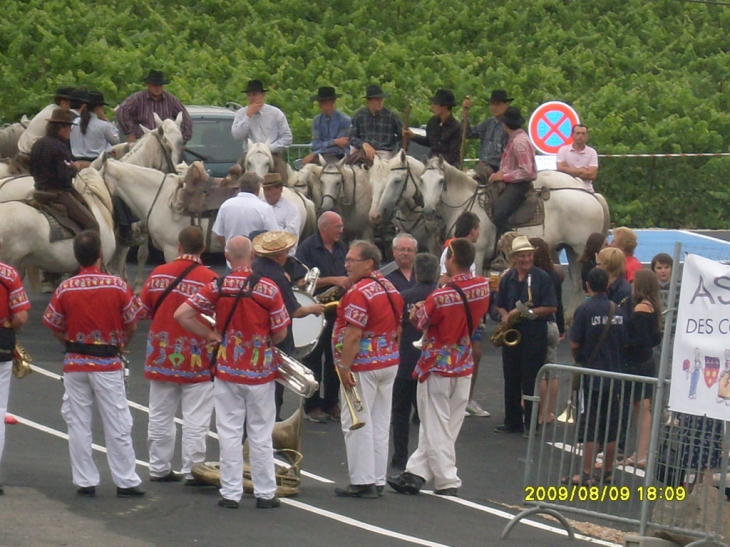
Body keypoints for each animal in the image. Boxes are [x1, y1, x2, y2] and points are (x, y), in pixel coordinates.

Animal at [416, 157, 608, 322]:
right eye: (422, 180)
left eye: (441, 181)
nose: (428, 211)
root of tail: (593, 196)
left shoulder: (477, 255)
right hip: (572, 251)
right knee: (577, 284)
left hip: (584, 250)